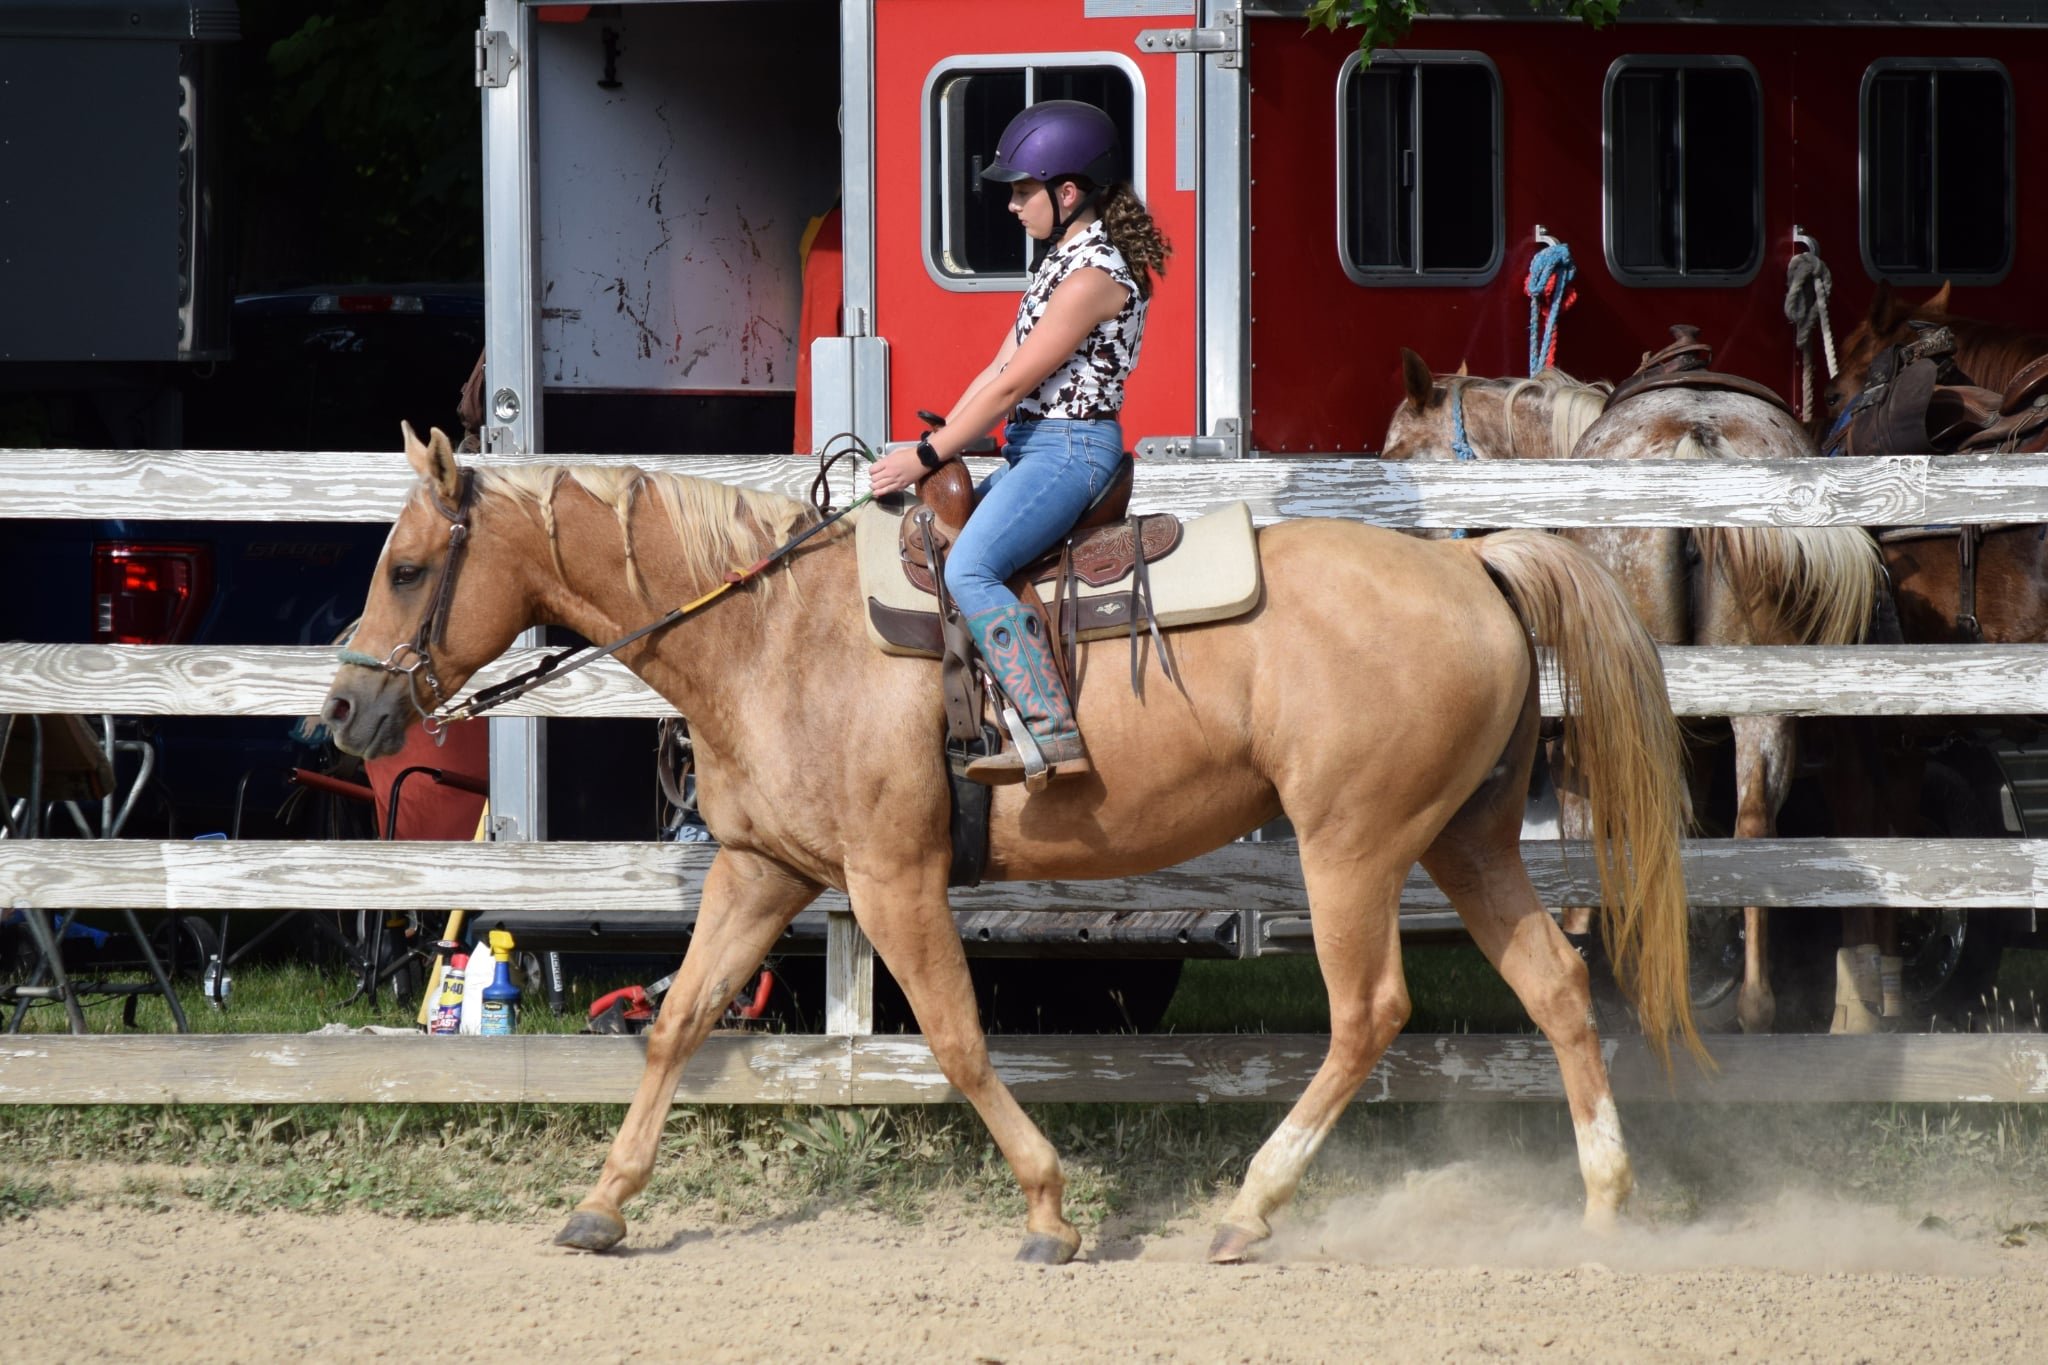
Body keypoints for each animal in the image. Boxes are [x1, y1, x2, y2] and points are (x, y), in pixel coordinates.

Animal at [320, 424, 1702, 1265]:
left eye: (406, 566)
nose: (339, 711)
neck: (770, 633)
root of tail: (1478, 572)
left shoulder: (891, 881)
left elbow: (958, 1040)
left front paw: (1048, 1210)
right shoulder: (765, 871)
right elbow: (676, 1024)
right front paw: (601, 1206)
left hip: (1350, 846)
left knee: (1368, 1012)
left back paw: (1250, 1208)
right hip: (1467, 842)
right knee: (1555, 987)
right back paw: (1604, 1203)